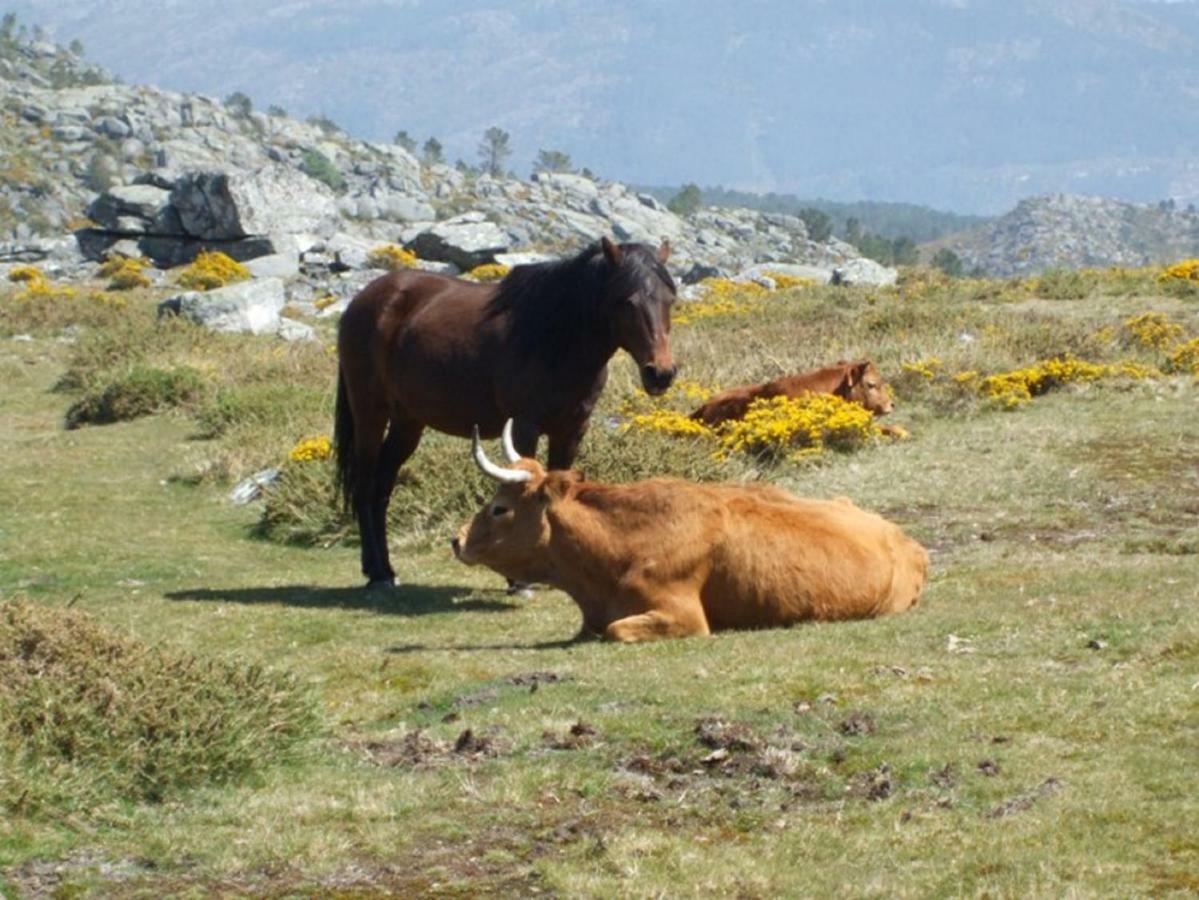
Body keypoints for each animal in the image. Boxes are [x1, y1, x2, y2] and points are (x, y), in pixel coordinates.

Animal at [333, 236, 681, 587]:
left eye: (670, 299)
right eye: (627, 300)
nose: (660, 373)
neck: (553, 340)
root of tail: (363, 299)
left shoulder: (571, 430)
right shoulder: (524, 426)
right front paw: (519, 580)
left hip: (407, 422)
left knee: (382, 487)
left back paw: (384, 568)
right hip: (370, 414)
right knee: (365, 486)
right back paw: (378, 574)